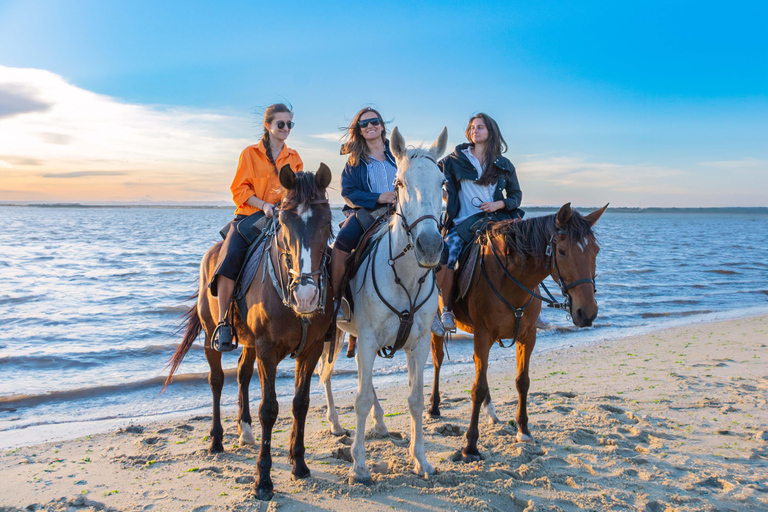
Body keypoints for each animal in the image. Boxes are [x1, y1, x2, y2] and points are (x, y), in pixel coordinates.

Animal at [165, 164, 332, 500]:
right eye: (283, 224)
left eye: (327, 222)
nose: (306, 296)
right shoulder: (268, 349)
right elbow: (269, 409)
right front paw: (263, 480)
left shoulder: (311, 349)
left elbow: (301, 404)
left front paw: (299, 464)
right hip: (211, 336)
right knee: (216, 380)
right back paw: (217, 440)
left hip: (250, 342)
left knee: (242, 374)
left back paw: (244, 431)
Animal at [318, 125, 448, 484]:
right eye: (399, 183)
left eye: (442, 183)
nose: (429, 245)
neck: (405, 277)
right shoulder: (367, 339)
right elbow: (360, 398)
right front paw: (359, 467)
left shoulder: (417, 343)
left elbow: (415, 400)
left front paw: (421, 460)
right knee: (326, 374)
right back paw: (336, 424)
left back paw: (379, 424)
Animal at [428, 203, 608, 460]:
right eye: (562, 252)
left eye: (596, 251)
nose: (588, 313)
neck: (511, 280)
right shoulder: (483, 335)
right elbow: (478, 388)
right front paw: (470, 446)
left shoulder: (527, 336)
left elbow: (522, 381)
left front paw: (523, 430)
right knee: (438, 360)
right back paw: (434, 407)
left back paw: (491, 412)